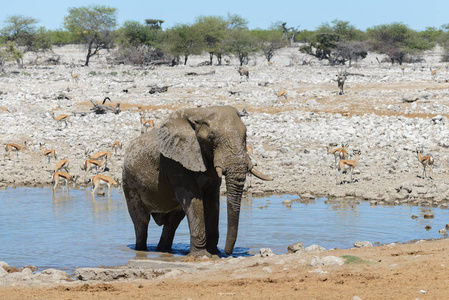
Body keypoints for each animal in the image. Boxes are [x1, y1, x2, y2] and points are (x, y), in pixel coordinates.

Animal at [121, 105, 272, 255]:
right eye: (212, 137)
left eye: (245, 135)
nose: (227, 252)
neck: (200, 113)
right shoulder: (175, 162)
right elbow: (193, 198)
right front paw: (202, 256)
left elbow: (212, 200)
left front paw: (214, 253)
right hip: (129, 183)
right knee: (141, 220)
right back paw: (141, 250)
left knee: (172, 221)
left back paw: (163, 250)